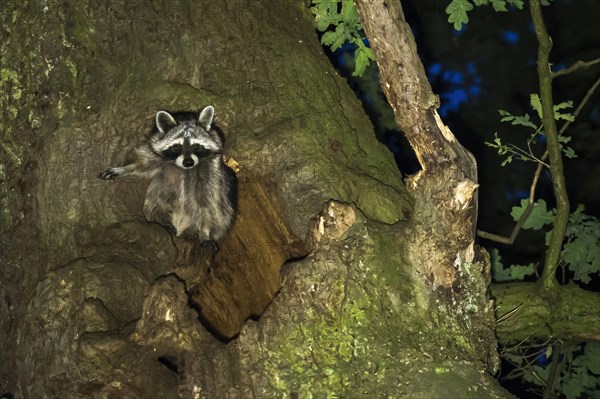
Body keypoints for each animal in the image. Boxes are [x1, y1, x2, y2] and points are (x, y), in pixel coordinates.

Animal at [98, 106, 237, 244]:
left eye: (196, 146)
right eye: (176, 147)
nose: (188, 162)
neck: (184, 169)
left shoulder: (212, 172)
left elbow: (209, 204)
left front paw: (205, 231)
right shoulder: (154, 156)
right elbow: (141, 165)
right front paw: (123, 169)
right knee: (155, 202)